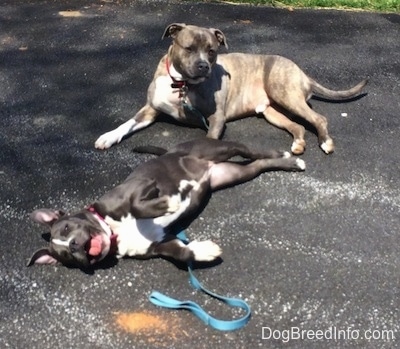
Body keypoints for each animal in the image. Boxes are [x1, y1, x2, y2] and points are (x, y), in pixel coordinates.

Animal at [28, 137, 306, 268]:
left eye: (66, 227)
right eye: (67, 256)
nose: (75, 246)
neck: (114, 231)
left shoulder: (140, 185)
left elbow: (138, 204)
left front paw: (168, 204)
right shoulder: (160, 244)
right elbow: (182, 254)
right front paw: (204, 251)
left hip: (218, 149)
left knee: (249, 150)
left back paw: (284, 154)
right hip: (233, 174)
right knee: (258, 165)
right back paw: (289, 163)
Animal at [94, 23, 368, 154]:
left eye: (212, 51)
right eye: (189, 48)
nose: (204, 66)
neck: (181, 85)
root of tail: (302, 71)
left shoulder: (216, 118)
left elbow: (207, 140)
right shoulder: (150, 109)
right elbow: (127, 123)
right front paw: (108, 136)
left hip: (284, 93)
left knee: (318, 118)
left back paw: (326, 142)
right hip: (272, 112)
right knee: (298, 126)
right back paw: (299, 144)